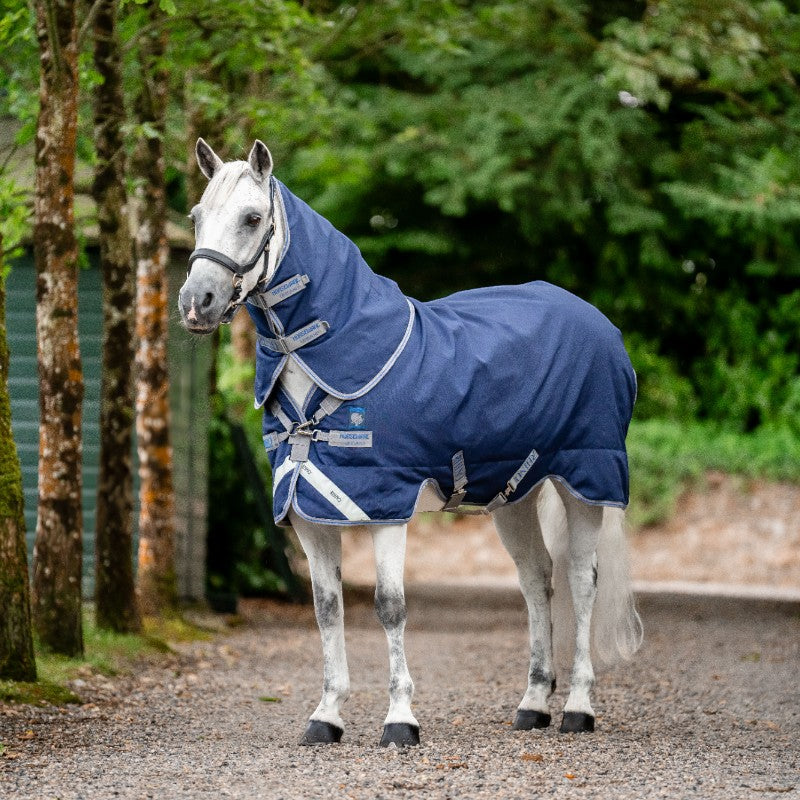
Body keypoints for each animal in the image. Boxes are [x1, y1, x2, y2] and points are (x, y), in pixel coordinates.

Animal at [179, 139, 643, 747]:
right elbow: (327, 609)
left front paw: (400, 719)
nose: (197, 302)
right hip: (514, 496)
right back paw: (533, 704)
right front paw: (326, 715)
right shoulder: (308, 512)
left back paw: (578, 709)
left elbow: (390, 607)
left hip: (585, 482)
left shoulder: (385, 507)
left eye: (252, 218)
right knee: (535, 580)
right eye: (196, 216)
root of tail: (601, 325)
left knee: (582, 582)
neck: (333, 367)